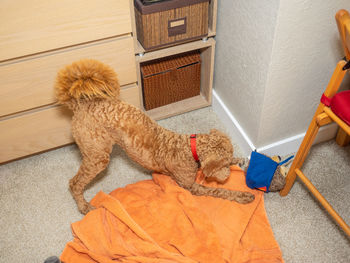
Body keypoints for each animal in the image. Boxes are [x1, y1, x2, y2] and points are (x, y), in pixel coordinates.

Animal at [54, 59, 254, 214]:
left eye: (227, 160)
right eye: (222, 165)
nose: (227, 175)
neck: (189, 149)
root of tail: (81, 104)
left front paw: (241, 159)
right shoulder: (192, 187)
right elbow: (220, 192)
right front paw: (243, 195)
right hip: (98, 157)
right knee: (74, 183)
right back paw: (84, 207)